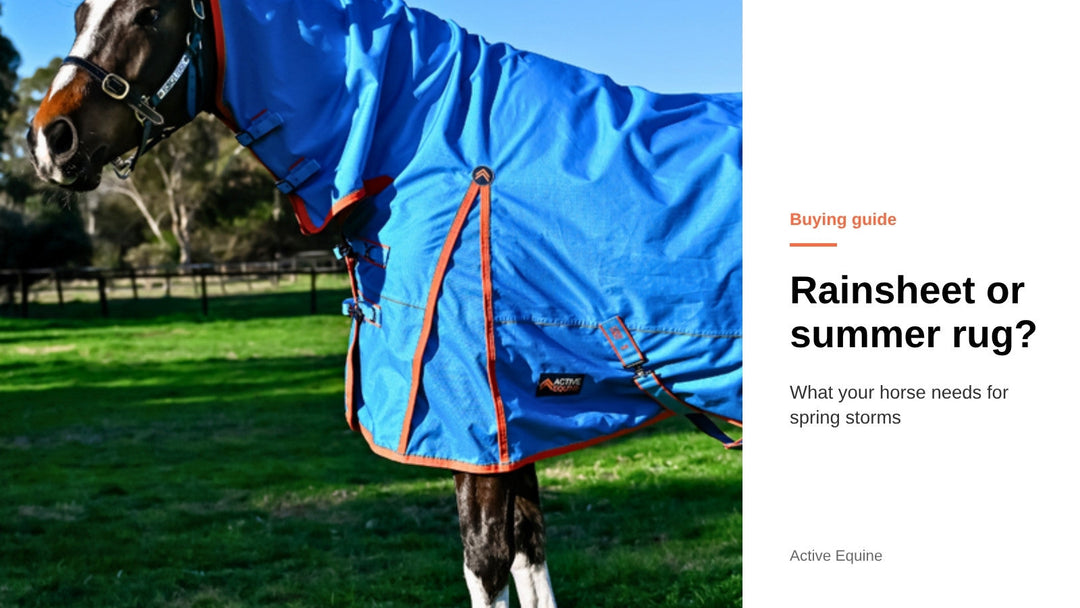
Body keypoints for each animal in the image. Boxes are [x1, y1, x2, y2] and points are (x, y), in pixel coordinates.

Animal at [27, 1, 743, 606]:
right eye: (78, 12)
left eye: (149, 13)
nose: (48, 140)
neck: (430, 144)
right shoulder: (513, 429)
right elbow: (529, 558)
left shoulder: (472, 430)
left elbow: (486, 565)